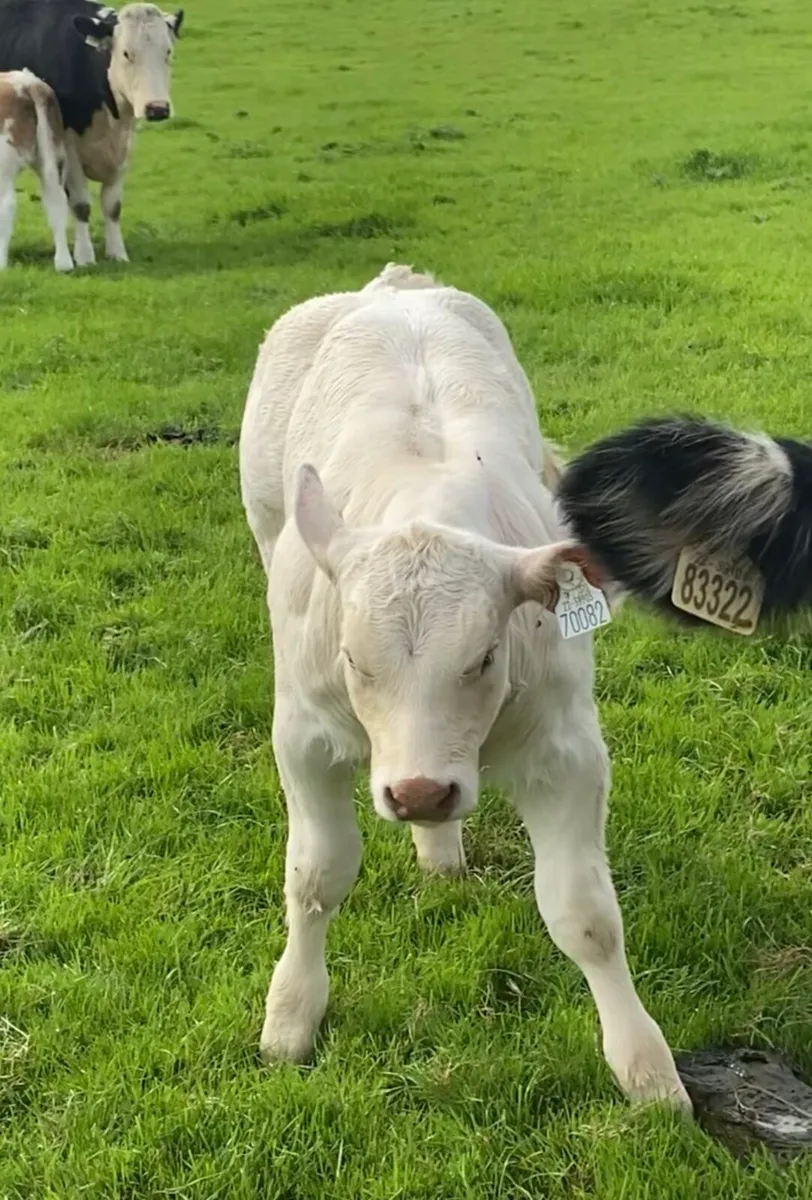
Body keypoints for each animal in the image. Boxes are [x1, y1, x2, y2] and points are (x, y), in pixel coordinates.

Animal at [0, 70, 73, 271]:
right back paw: (64, 263)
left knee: (7, 205)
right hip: (54, 155)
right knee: (57, 201)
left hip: (3, 165)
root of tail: (28, 82)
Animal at [238, 263, 692, 1111]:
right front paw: (291, 1015)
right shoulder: (305, 736)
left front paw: (647, 1069)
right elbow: (315, 877)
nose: (419, 793)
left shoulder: (566, 750)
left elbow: (586, 916)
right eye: (353, 659)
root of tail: (391, 287)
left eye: (484, 657)